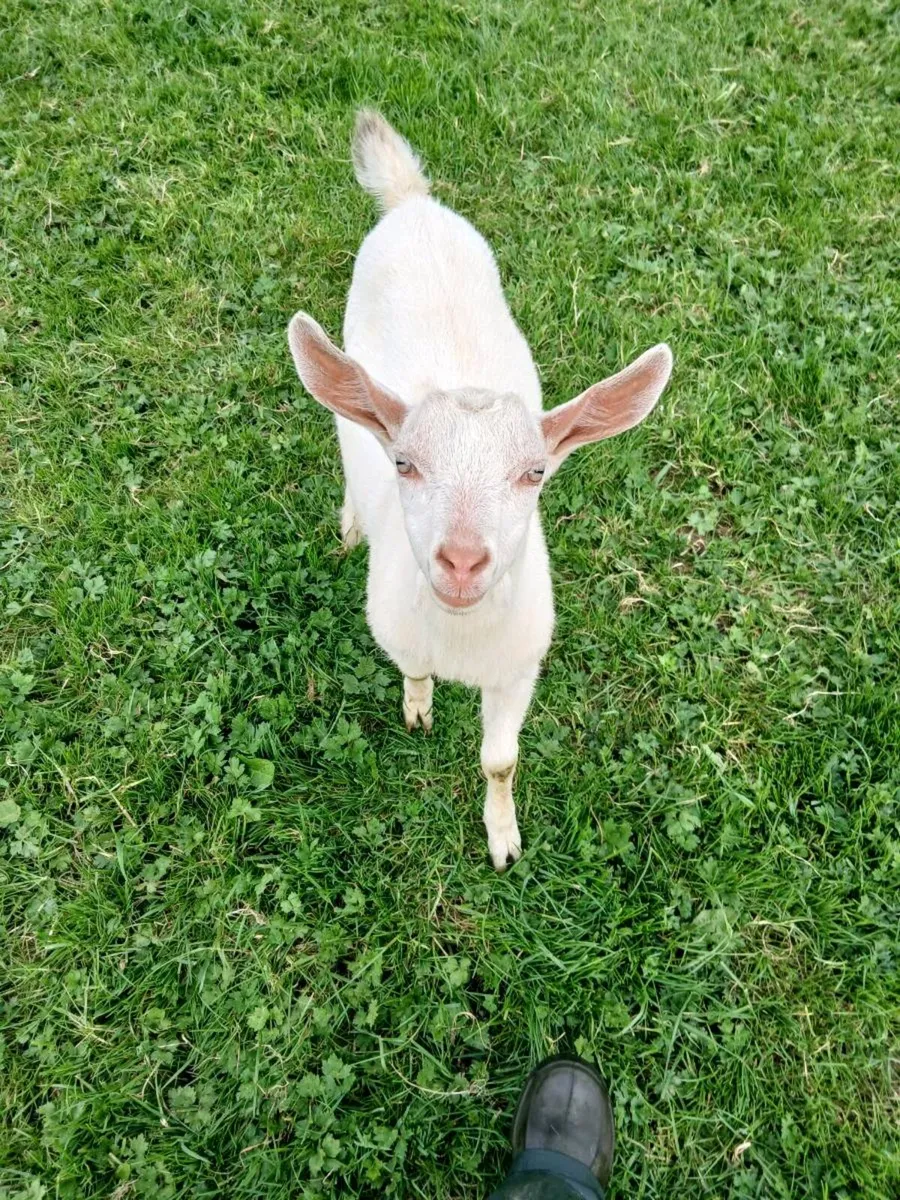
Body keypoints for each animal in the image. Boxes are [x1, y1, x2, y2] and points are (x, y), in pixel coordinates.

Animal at [287, 111, 672, 869]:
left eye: (535, 473)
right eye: (405, 463)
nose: (463, 561)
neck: (461, 642)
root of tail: (411, 203)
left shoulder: (519, 668)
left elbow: (501, 760)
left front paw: (503, 841)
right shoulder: (399, 632)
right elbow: (413, 673)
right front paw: (419, 711)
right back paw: (350, 525)